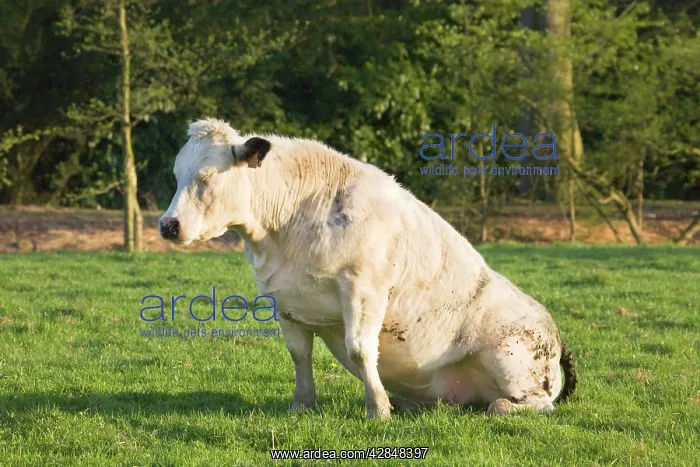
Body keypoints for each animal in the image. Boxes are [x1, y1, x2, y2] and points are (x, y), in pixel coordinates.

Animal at [160, 118, 577, 419]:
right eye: (176, 176)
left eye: (207, 178)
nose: (168, 225)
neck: (288, 229)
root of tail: (556, 336)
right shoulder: (285, 300)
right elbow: (299, 355)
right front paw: (301, 405)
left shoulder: (365, 288)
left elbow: (361, 350)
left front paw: (378, 409)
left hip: (513, 356)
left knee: (531, 404)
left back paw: (499, 405)